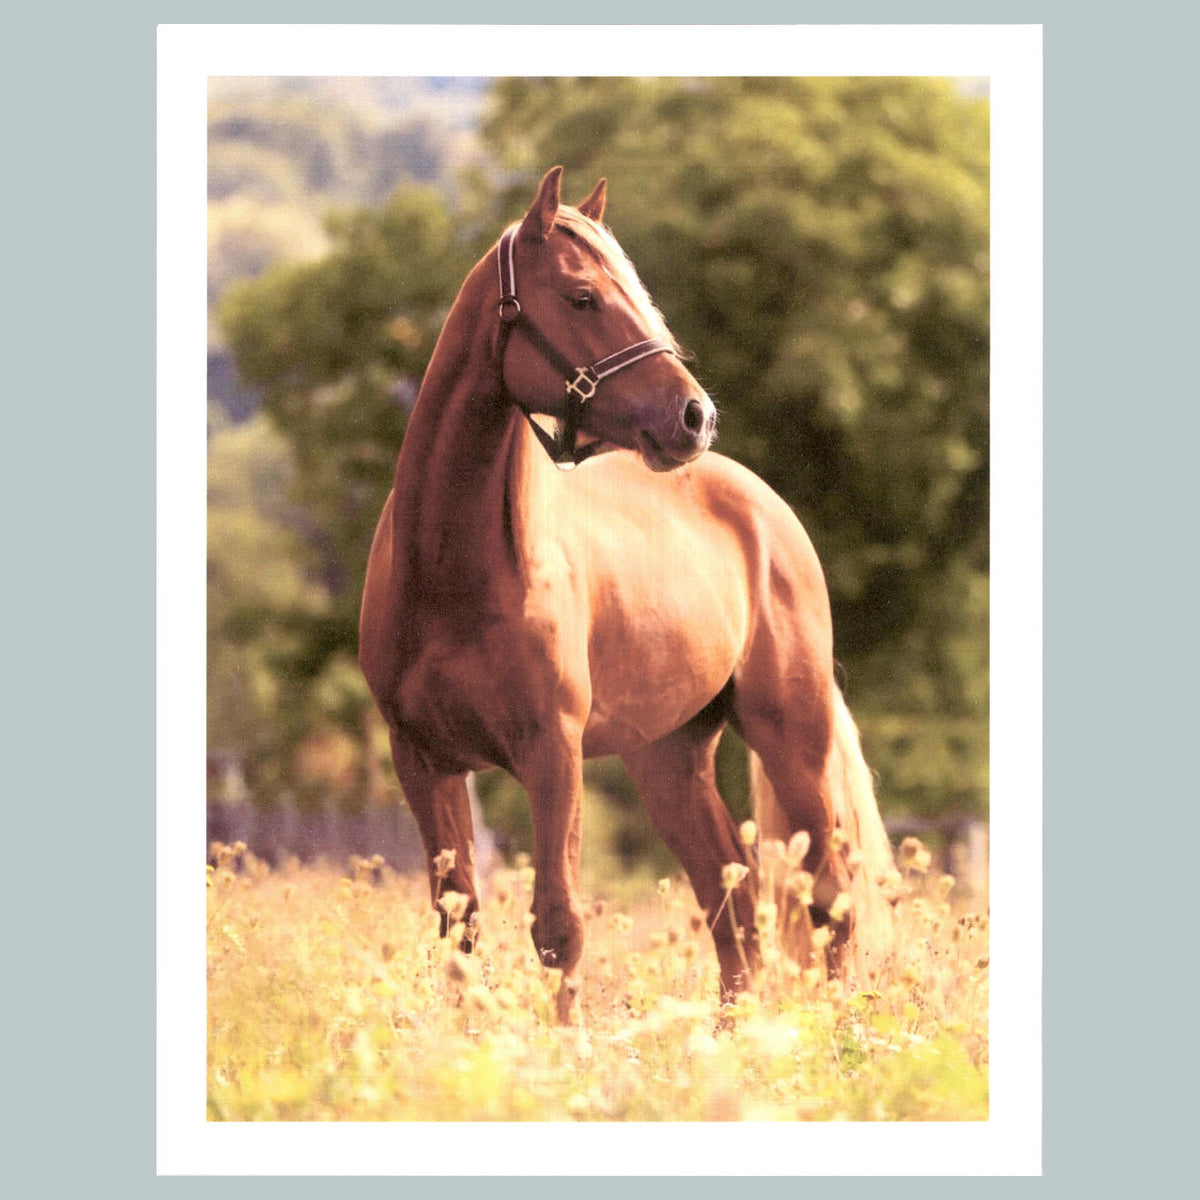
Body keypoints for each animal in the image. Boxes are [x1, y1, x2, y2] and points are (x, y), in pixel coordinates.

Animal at [359, 167, 895, 1024]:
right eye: (581, 296)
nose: (694, 415)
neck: (452, 574)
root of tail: (764, 507)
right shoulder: (422, 760)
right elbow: (459, 928)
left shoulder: (552, 752)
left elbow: (558, 925)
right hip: (669, 758)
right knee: (732, 909)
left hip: (792, 734)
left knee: (827, 900)